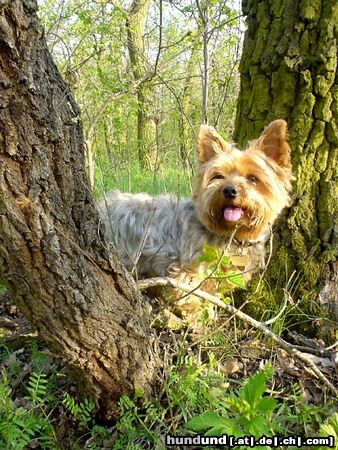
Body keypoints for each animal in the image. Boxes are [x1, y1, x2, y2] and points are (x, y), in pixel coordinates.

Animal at [98, 119, 294, 320]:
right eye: (218, 176)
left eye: (253, 178)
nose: (229, 190)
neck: (230, 235)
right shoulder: (187, 270)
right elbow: (193, 297)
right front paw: (199, 319)